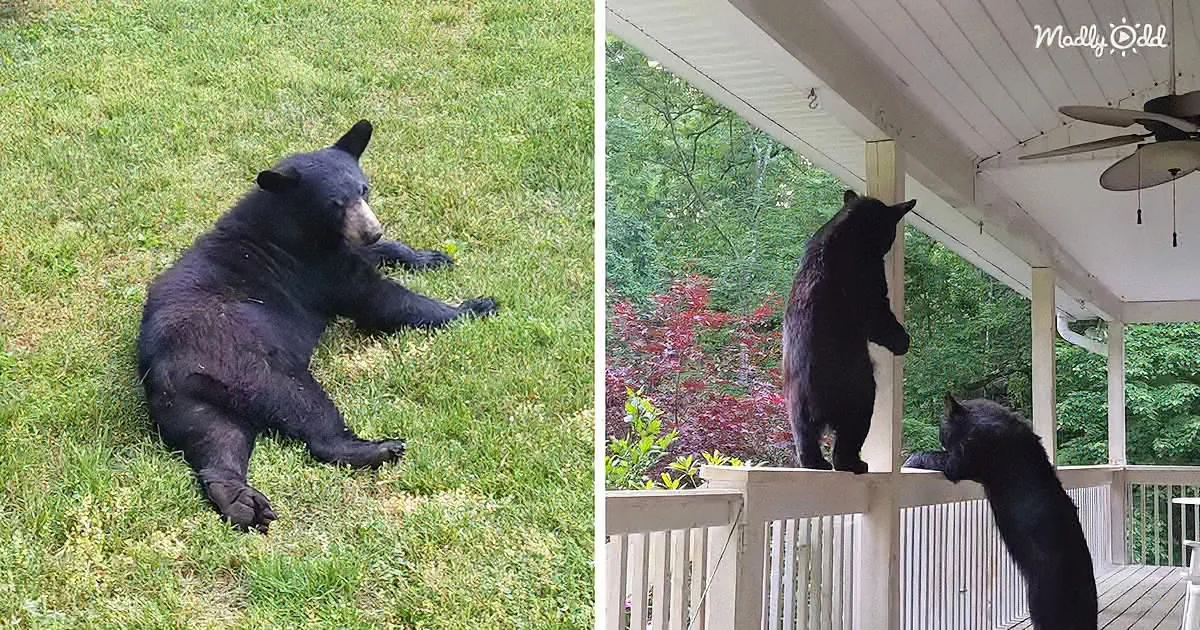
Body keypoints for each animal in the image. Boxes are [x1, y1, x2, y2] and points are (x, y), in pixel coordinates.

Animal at [136, 120, 498, 533]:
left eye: (364, 189)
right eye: (335, 203)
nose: (371, 230)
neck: (290, 221)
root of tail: (165, 368)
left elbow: (379, 255)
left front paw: (430, 257)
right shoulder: (318, 268)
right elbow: (379, 299)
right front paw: (474, 306)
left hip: (191, 402)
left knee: (217, 438)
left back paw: (240, 502)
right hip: (252, 366)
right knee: (304, 408)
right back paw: (378, 448)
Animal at [783, 190, 914, 473]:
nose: (889, 243)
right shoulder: (872, 290)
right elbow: (880, 320)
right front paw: (903, 340)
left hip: (797, 408)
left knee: (805, 438)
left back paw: (815, 463)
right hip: (861, 396)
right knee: (847, 439)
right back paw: (853, 463)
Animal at [905, 395, 1098, 630]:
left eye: (942, 429)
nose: (940, 438)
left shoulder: (961, 460)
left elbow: (937, 458)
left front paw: (912, 457)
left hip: (1042, 596)